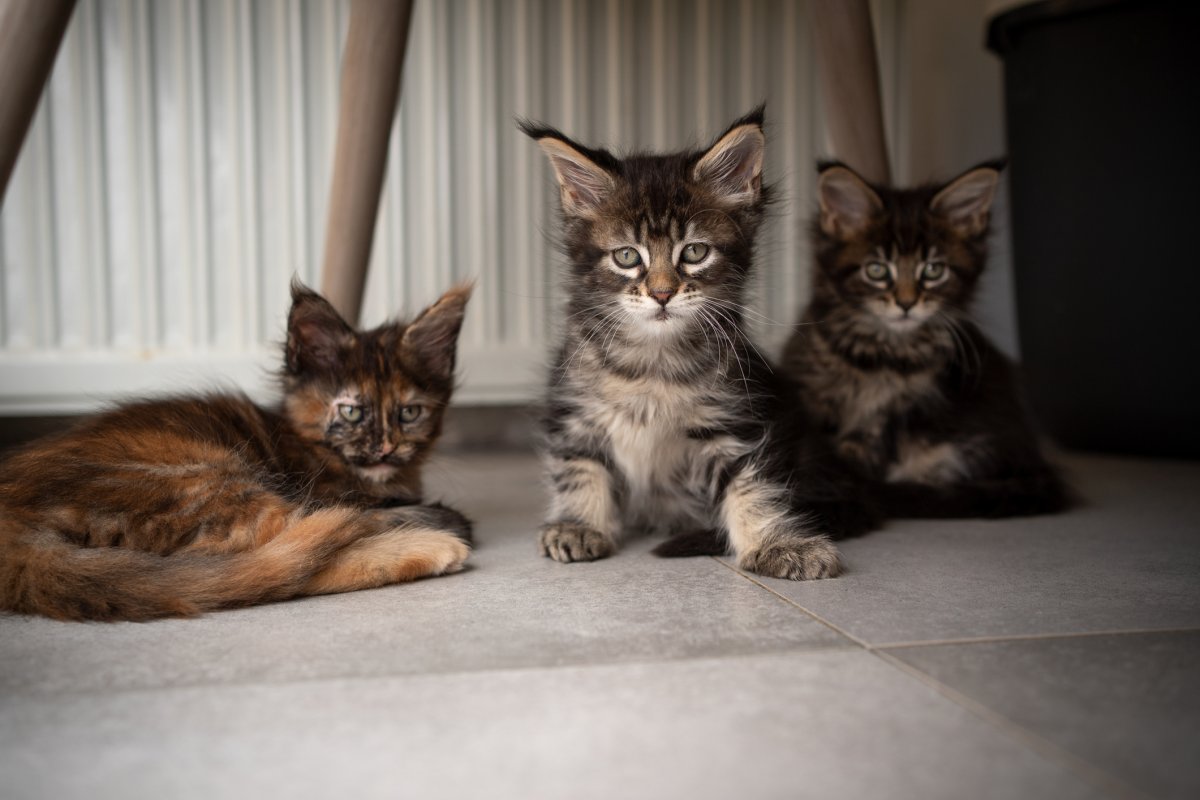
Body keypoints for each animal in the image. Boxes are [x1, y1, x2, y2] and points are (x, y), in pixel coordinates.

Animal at [1, 283, 477, 623]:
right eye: (352, 411)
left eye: (409, 413)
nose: (385, 447)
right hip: (207, 482)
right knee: (288, 563)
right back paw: (434, 546)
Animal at [520, 109, 849, 578]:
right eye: (626, 256)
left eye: (694, 252)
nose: (661, 293)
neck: (652, 362)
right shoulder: (575, 409)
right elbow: (579, 468)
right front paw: (579, 525)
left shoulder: (732, 419)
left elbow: (753, 486)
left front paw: (779, 544)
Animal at [777, 160, 1070, 520]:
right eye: (876, 270)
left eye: (933, 271)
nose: (906, 303)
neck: (877, 355)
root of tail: (1034, 460)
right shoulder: (811, 391)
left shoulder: (893, 416)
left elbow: (856, 457)